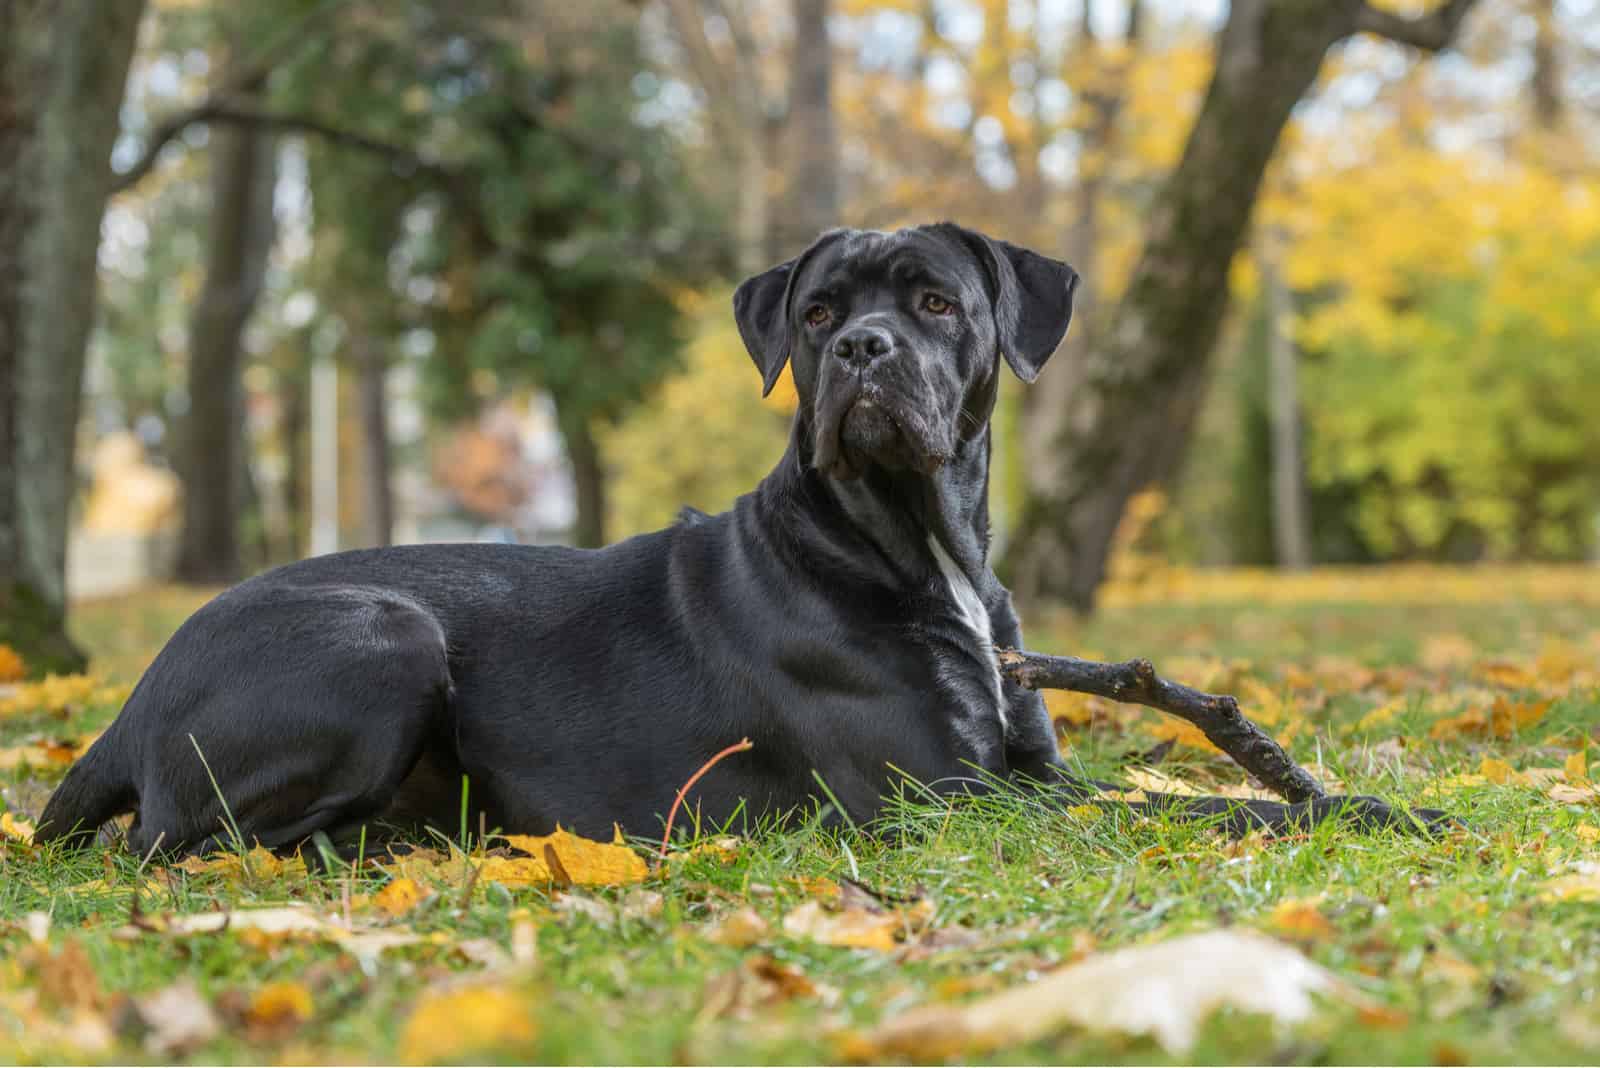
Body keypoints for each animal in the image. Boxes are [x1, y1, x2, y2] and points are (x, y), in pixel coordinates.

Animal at [40, 227, 1440, 856]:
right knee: (175, 842)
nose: (861, 348)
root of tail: (127, 702)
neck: (913, 541)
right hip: (386, 641)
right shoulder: (948, 796)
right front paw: (1383, 806)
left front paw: (1352, 792)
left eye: (935, 299)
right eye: (818, 312)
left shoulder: (1025, 766)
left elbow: (1168, 785)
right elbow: (1204, 806)